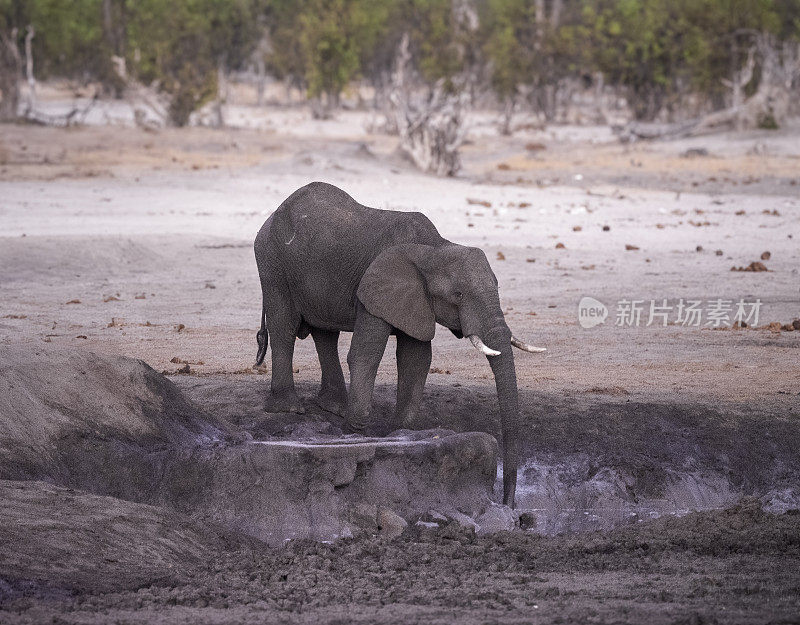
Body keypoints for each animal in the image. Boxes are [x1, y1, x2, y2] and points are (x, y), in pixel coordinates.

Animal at [253, 180, 548, 508]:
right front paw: (355, 433)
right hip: (271, 261)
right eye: (458, 295)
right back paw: (289, 409)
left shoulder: (416, 298)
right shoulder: (376, 286)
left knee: (324, 333)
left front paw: (400, 431)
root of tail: (274, 213)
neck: (433, 248)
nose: (508, 502)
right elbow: (366, 353)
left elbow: (416, 357)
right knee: (284, 325)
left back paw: (334, 407)